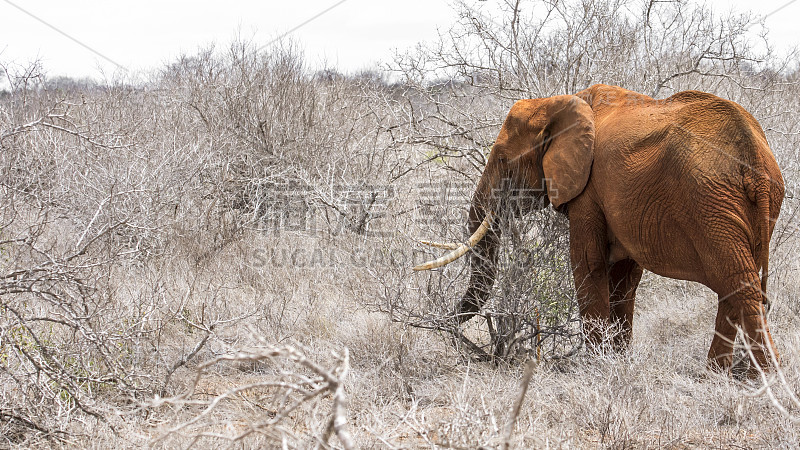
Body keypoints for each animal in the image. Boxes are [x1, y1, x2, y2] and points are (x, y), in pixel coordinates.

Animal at [416, 84, 784, 372]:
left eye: (503, 160)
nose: (436, 323)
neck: (561, 103)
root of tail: (754, 155)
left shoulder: (589, 190)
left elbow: (588, 264)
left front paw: (595, 366)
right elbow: (623, 277)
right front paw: (618, 361)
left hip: (710, 202)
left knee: (739, 284)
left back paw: (764, 378)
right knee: (733, 286)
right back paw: (715, 375)